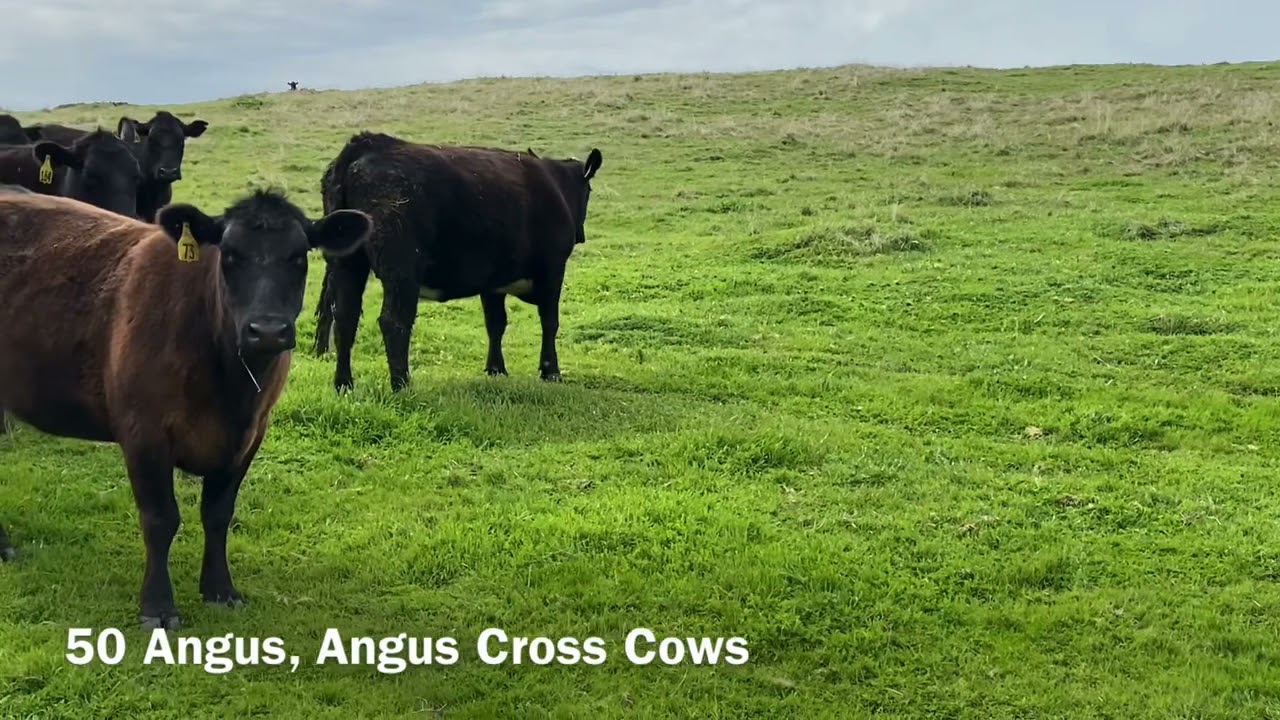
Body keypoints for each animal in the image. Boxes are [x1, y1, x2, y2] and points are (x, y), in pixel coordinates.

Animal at [0, 188, 372, 629]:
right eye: (229, 255)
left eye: (299, 256)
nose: (266, 331)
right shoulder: (144, 433)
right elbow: (161, 520)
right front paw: (158, 607)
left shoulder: (250, 435)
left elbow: (218, 513)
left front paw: (220, 589)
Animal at [311, 132, 602, 392]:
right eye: (588, 190)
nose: (582, 235)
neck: (555, 185)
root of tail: (366, 145)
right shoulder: (553, 269)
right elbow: (550, 322)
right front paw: (551, 372)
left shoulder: (492, 283)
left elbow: (496, 324)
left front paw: (496, 369)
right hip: (401, 270)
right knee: (394, 322)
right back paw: (402, 385)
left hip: (347, 263)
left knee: (345, 318)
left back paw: (344, 384)